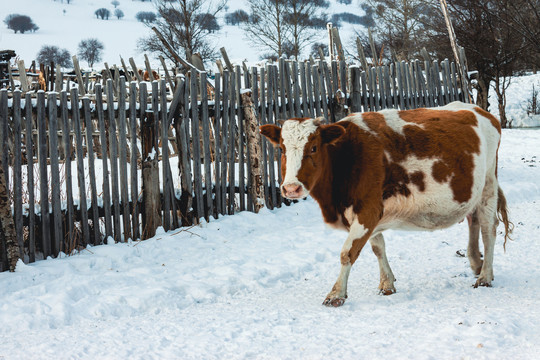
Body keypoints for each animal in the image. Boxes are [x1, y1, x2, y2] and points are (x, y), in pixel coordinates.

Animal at [260, 100, 512, 306]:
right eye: (281, 149)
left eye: (313, 148)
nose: (291, 188)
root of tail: (480, 111)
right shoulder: (370, 212)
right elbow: (377, 247)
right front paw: (387, 284)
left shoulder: (368, 210)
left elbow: (348, 252)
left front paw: (336, 294)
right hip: (471, 192)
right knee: (473, 219)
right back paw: (476, 263)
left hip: (488, 185)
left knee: (488, 229)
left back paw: (485, 276)